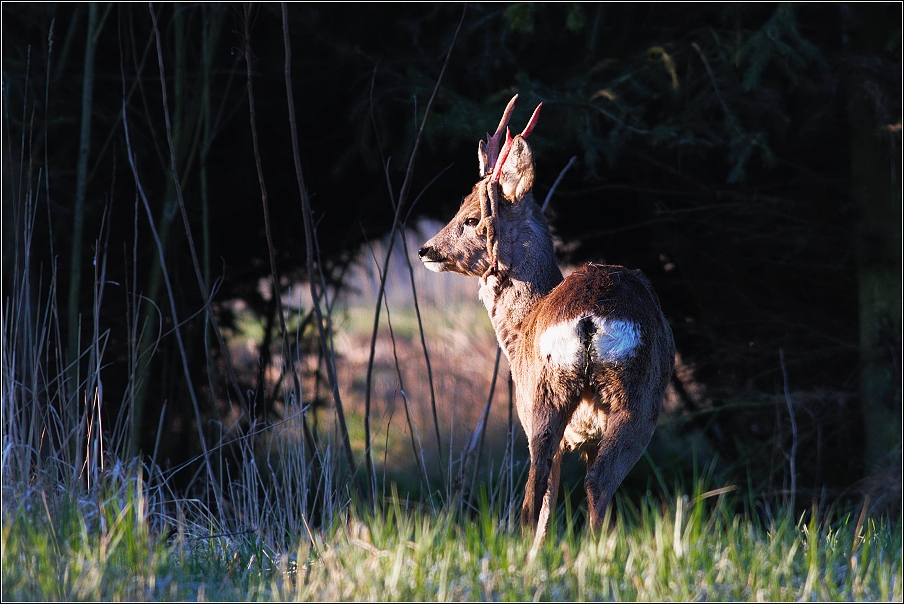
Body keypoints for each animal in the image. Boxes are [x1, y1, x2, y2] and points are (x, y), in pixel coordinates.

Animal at [420, 96, 676, 544]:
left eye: (470, 217)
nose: (425, 249)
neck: (521, 325)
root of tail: (591, 318)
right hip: (620, 400)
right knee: (595, 482)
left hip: (554, 398)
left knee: (537, 490)